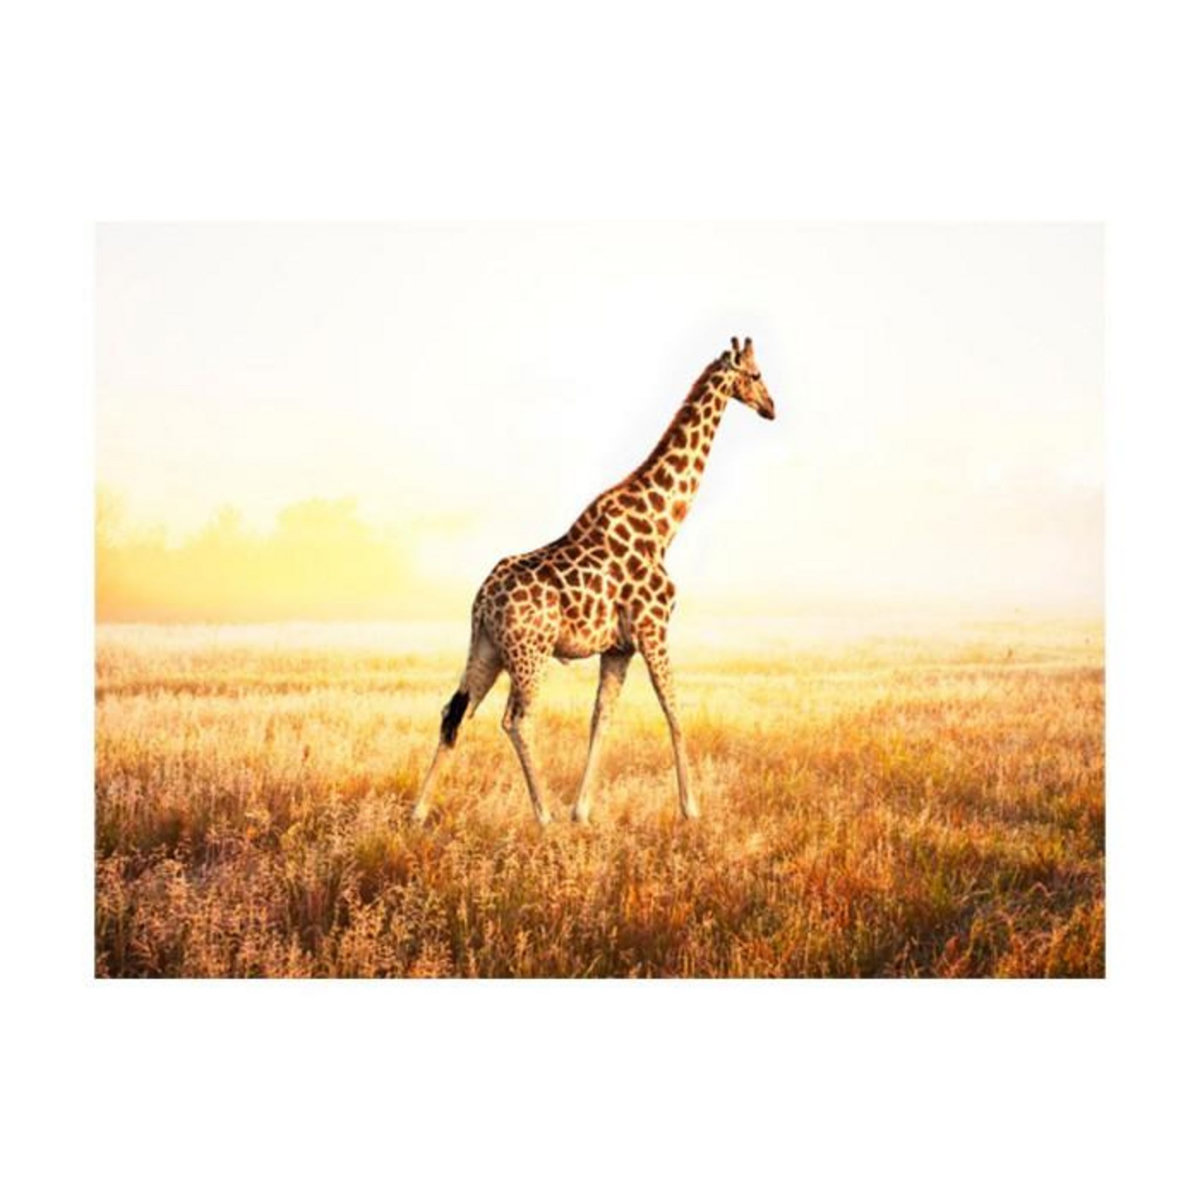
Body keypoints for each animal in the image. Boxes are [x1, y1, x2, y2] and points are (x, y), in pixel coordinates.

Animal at [410, 336, 776, 827]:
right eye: (756, 375)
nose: (771, 407)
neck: (662, 524)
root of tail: (482, 600)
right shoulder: (653, 628)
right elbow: (673, 709)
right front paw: (691, 809)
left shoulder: (618, 646)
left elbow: (601, 717)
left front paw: (582, 811)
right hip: (530, 652)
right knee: (516, 719)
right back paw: (542, 815)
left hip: (487, 647)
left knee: (455, 711)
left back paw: (418, 812)